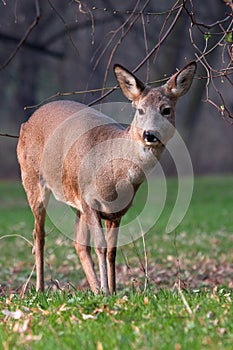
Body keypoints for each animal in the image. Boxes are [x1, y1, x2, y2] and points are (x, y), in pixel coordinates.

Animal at [17, 61, 197, 294]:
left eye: (166, 110)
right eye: (140, 110)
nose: (149, 134)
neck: (114, 177)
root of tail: (29, 120)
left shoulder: (116, 211)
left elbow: (112, 250)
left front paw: (112, 290)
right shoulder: (90, 200)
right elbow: (101, 247)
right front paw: (106, 290)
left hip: (75, 200)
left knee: (79, 243)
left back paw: (94, 288)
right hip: (31, 180)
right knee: (39, 235)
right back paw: (40, 288)